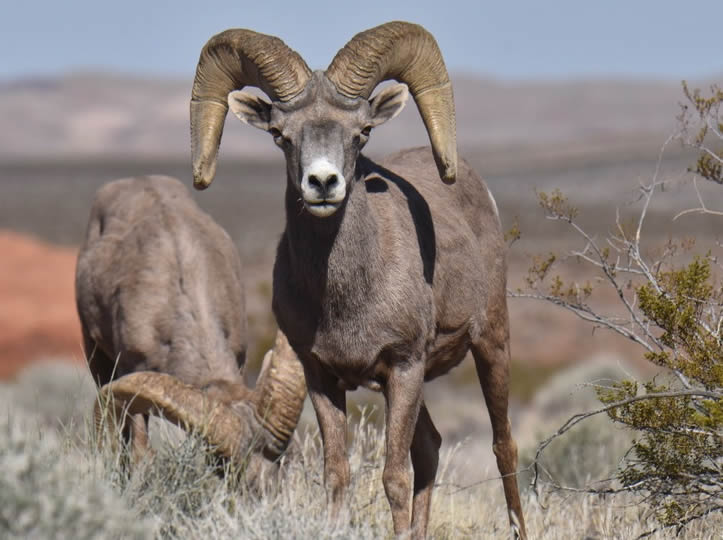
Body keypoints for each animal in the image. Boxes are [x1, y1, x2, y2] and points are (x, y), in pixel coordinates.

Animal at [188, 21, 526, 538]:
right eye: (281, 136)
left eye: (361, 133)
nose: (323, 183)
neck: (344, 296)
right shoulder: (322, 377)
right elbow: (337, 473)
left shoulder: (404, 366)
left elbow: (394, 476)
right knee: (430, 446)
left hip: (491, 343)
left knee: (502, 445)